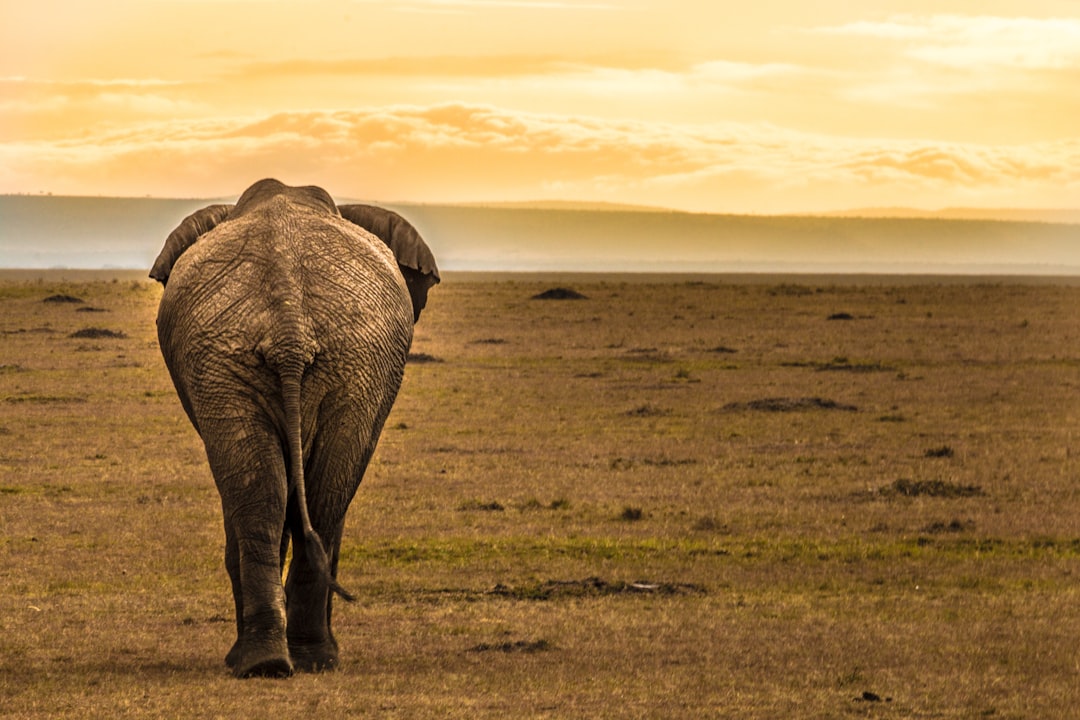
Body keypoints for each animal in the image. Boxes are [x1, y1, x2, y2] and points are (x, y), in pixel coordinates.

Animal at [150, 179, 440, 677]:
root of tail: (288, 325)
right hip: (295, 362)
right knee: (301, 496)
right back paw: (287, 660)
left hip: (341, 362)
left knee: (293, 496)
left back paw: (279, 661)